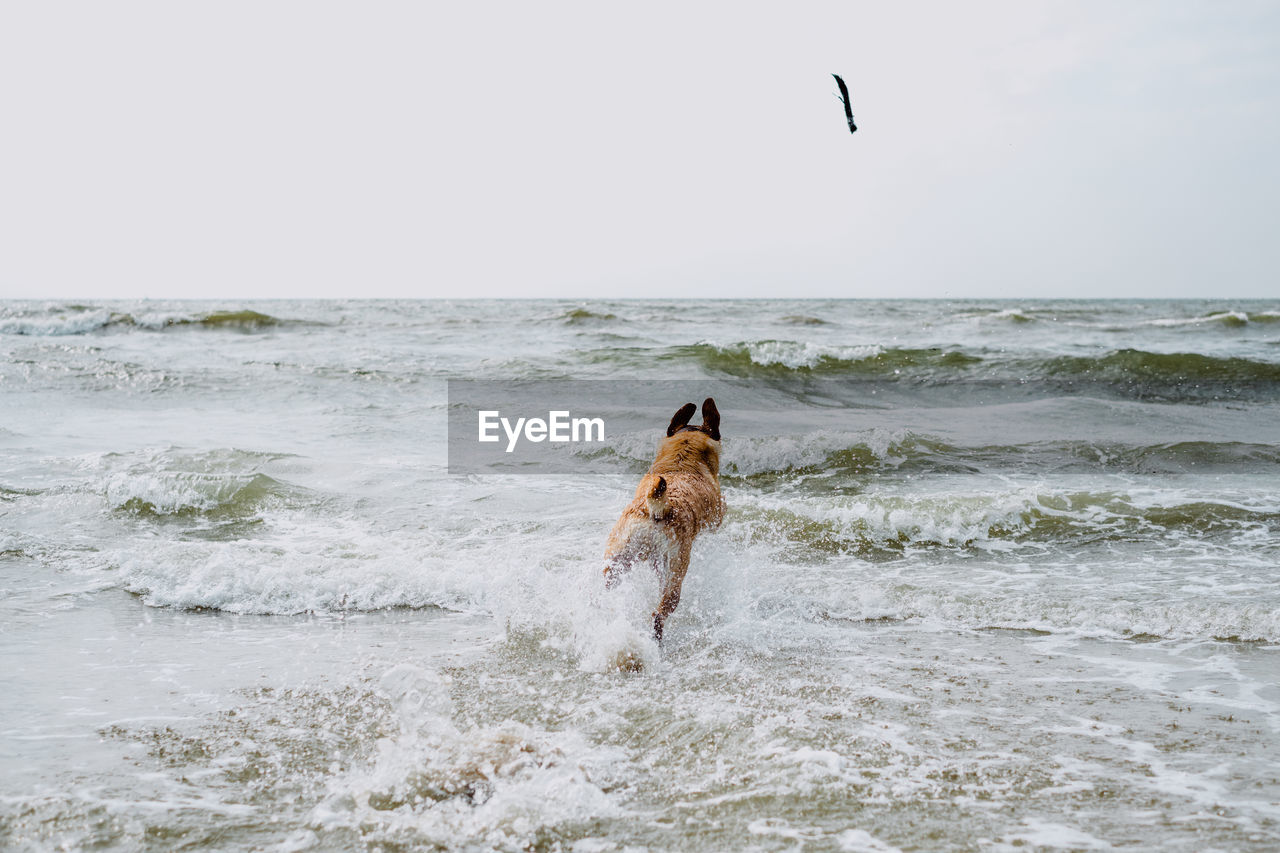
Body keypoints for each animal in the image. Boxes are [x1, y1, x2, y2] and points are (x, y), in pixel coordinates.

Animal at [604, 397, 727, 637]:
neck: (682, 458)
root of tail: (658, 508)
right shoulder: (717, 515)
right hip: (674, 574)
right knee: (659, 614)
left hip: (619, 557)